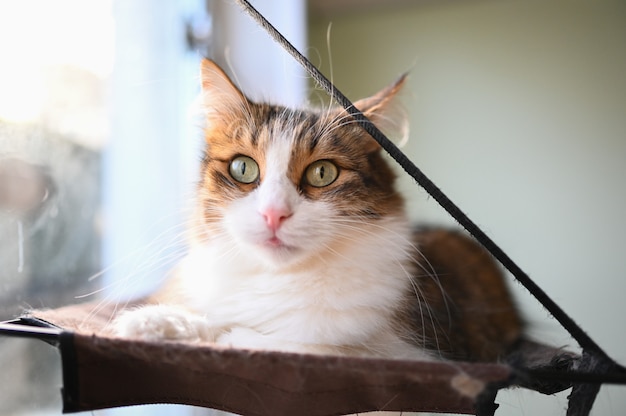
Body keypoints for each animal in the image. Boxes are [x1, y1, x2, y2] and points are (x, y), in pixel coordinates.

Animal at [109, 59, 520, 364]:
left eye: (322, 173)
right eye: (243, 169)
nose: (273, 214)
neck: (278, 280)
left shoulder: (408, 352)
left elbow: (295, 343)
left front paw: (231, 335)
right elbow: (210, 317)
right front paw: (153, 323)